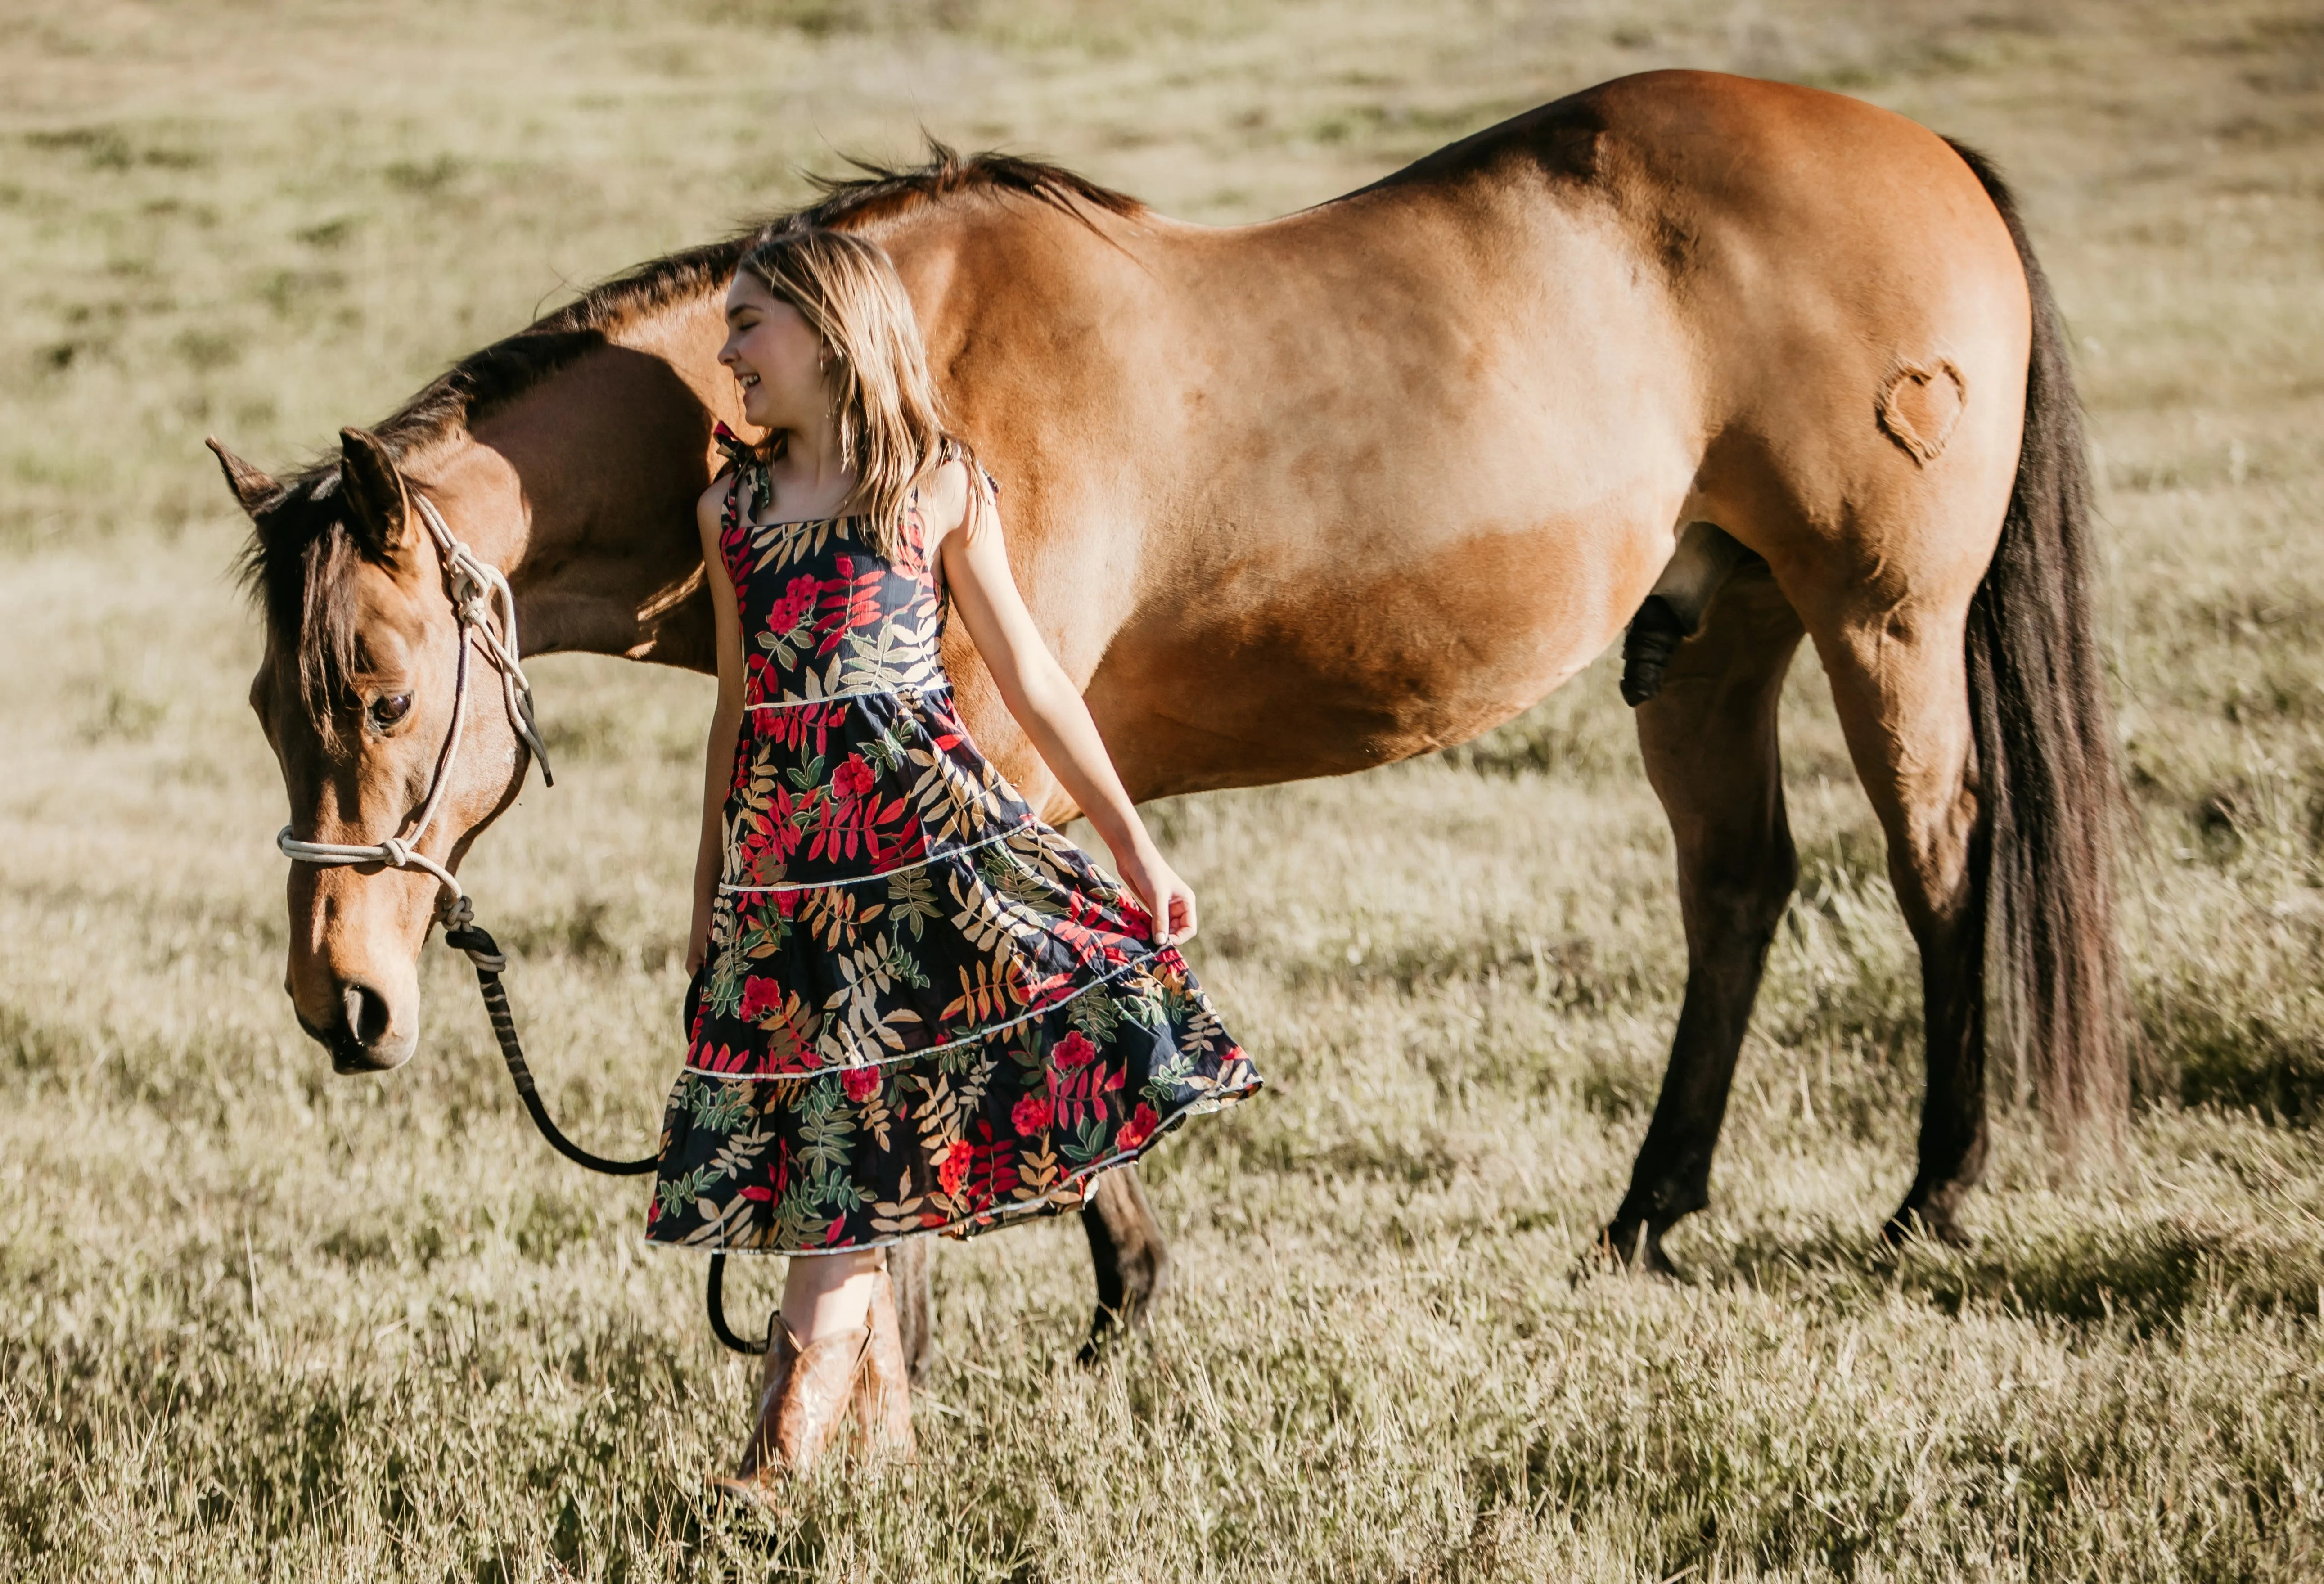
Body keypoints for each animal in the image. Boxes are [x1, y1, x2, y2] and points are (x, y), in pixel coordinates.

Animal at [214, 68, 2129, 1365]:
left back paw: (1934, 1198)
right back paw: (1643, 1220)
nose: (342, 1002)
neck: (894, 368)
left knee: (1941, 861)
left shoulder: (990, 760)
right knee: (1737, 887)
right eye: (265, 706)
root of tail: (1926, 152)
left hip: (1883, 624)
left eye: (383, 691)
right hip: (1713, 639)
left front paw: (1040, 1308)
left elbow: (998, 1013)